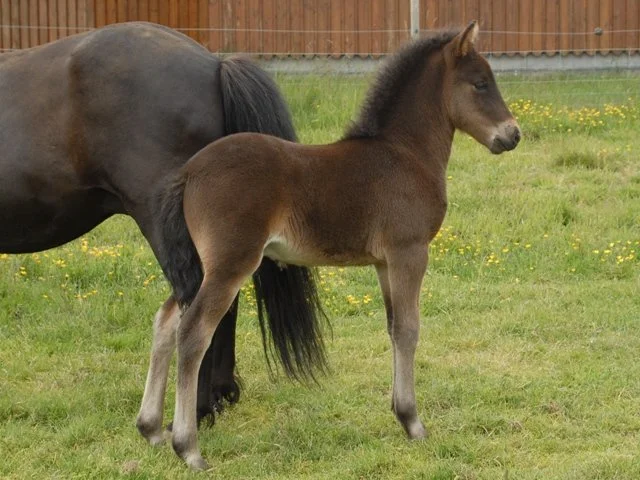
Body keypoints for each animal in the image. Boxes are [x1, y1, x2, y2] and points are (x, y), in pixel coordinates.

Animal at [151, 21, 521, 470]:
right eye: (481, 83)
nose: (513, 134)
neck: (404, 154)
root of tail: (189, 171)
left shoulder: (384, 263)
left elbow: (394, 327)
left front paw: (400, 413)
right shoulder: (409, 252)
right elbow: (410, 329)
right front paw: (414, 423)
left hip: (199, 266)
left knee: (166, 319)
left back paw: (150, 428)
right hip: (230, 264)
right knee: (193, 332)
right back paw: (188, 447)